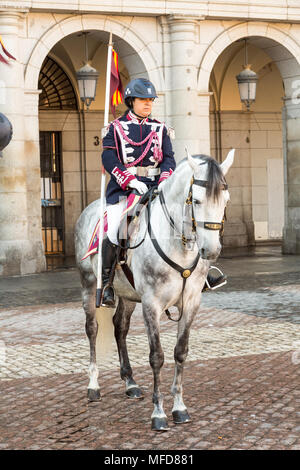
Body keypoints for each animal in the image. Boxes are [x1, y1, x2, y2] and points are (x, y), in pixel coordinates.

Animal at [74, 149, 234, 432]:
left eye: (225, 200)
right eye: (198, 200)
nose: (212, 250)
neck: (178, 243)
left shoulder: (191, 303)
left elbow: (180, 352)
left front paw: (179, 408)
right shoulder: (151, 304)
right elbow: (157, 356)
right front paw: (158, 413)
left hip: (126, 294)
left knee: (120, 327)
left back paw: (130, 382)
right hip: (89, 284)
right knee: (92, 329)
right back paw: (93, 386)